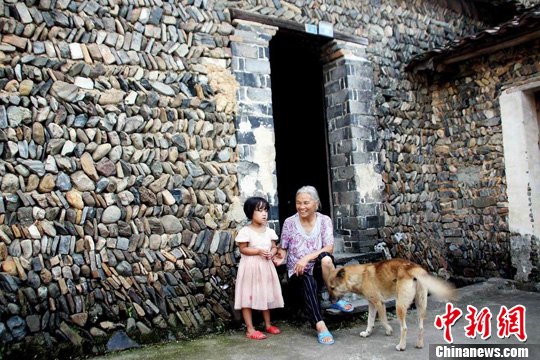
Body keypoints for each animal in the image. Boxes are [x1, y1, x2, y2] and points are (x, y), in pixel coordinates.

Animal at [326, 258, 454, 352]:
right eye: (328, 288)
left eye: (333, 288)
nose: (330, 301)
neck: (361, 276)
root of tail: (412, 267)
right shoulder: (371, 304)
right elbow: (370, 321)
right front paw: (367, 333)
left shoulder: (379, 303)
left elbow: (383, 320)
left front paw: (388, 331)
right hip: (420, 305)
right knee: (421, 327)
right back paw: (419, 344)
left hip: (399, 306)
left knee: (404, 328)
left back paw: (401, 346)